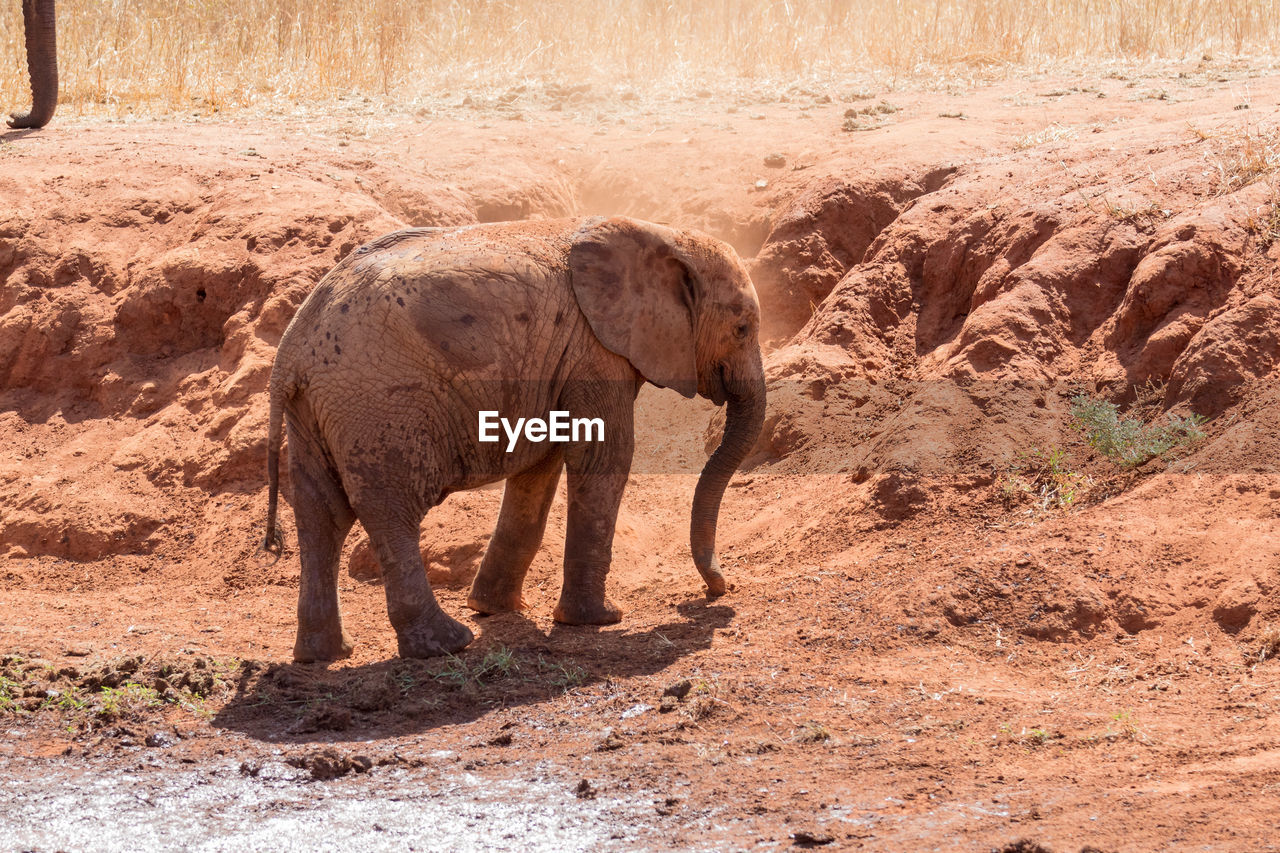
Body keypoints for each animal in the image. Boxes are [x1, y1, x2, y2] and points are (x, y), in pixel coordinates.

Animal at [259, 216, 757, 660]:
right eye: (742, 329)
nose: (717, 589)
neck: (663, 233)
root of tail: (290, 351)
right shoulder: (594, 351)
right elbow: (604, 456)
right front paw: (600, 619)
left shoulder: (557, 361)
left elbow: (540, 465)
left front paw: (494, 609)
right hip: (376, 404)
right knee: (391, 509)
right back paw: (446, 644)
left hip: (316, 411)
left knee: (321, 513)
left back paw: (323, 655)